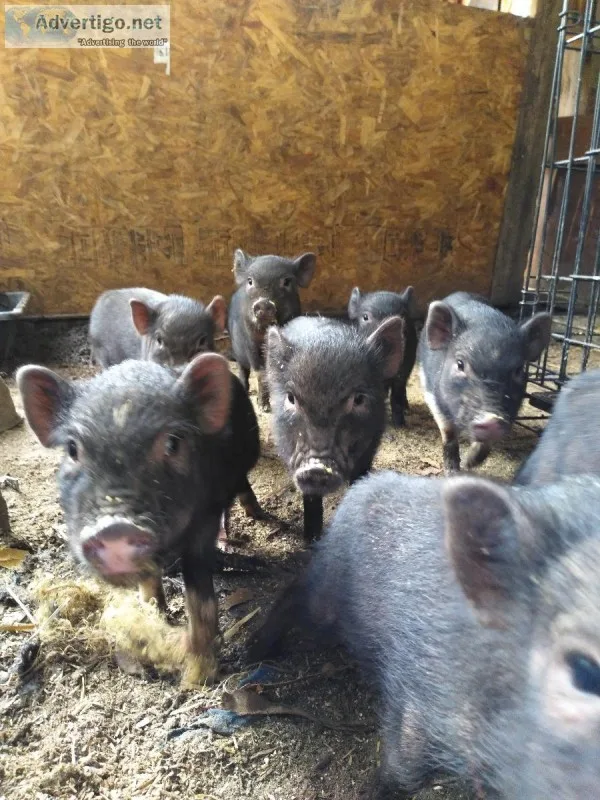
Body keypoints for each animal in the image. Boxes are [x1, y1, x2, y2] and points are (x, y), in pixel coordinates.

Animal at [17, 353, 261, 682]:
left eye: (173, 443)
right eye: (72, 448)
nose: (114, 527)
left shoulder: (204, 521)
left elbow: (200, 596)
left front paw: (197, 679)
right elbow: (148, 582)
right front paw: (152, 614)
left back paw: (253, 516)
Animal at [227, 250, 316, 412]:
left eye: (287, 281)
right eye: (250, 281)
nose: (264, 303)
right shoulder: (250, 343)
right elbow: (260, 373)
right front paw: (264, 408)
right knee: (243, 370)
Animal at [250, 470, 600, 800]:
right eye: (585, 671)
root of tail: (368, 484)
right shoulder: (416, 689)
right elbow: (403, 768)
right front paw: (376, 789)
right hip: (326, 596)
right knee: (294, 592)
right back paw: (254, 650)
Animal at [418, 292, 552, 473]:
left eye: (518, 370)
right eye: (460, 364)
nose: (491, 419)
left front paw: (470, 463)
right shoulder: (431, 393)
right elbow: (448, 432)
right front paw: (453, 471)